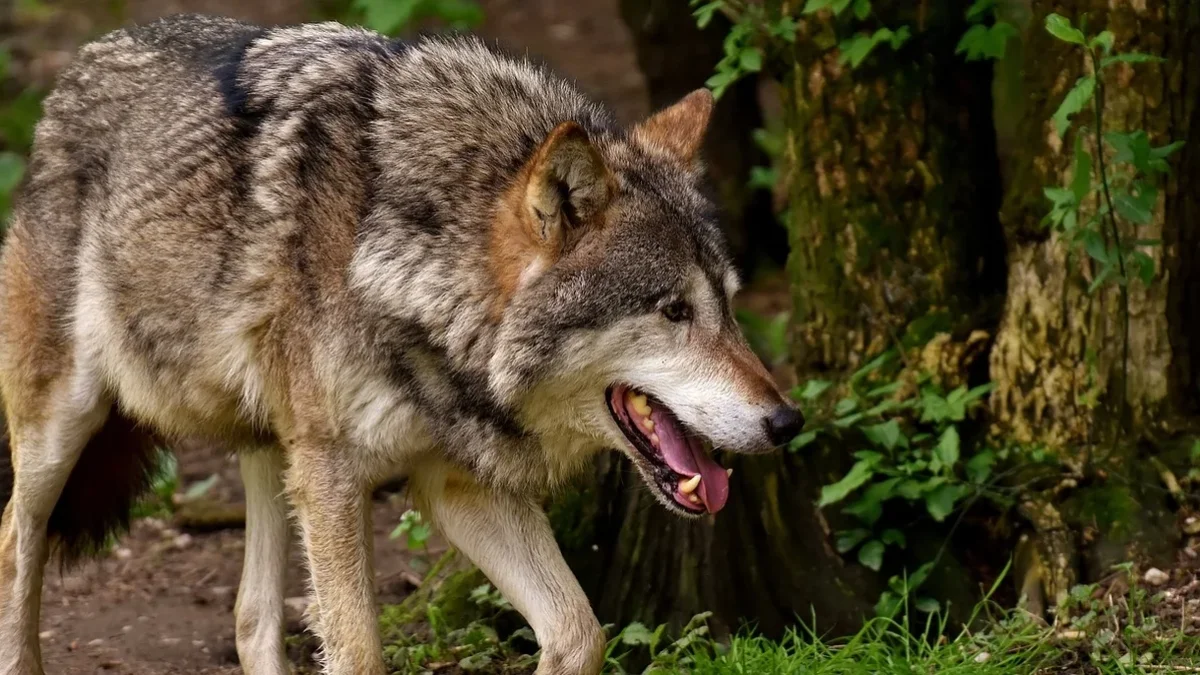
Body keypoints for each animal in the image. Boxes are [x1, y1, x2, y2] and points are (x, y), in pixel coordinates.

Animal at [0, 13, 806, 667]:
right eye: (673, 310)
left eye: (729, 306)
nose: (787, 421)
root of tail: (77, 68)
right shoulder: (335, 474)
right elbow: (358, 652)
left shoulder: (457, 483)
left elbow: (580, 632)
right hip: (65, 425)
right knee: (14, 536)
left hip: (272, 447)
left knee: (251, 619)